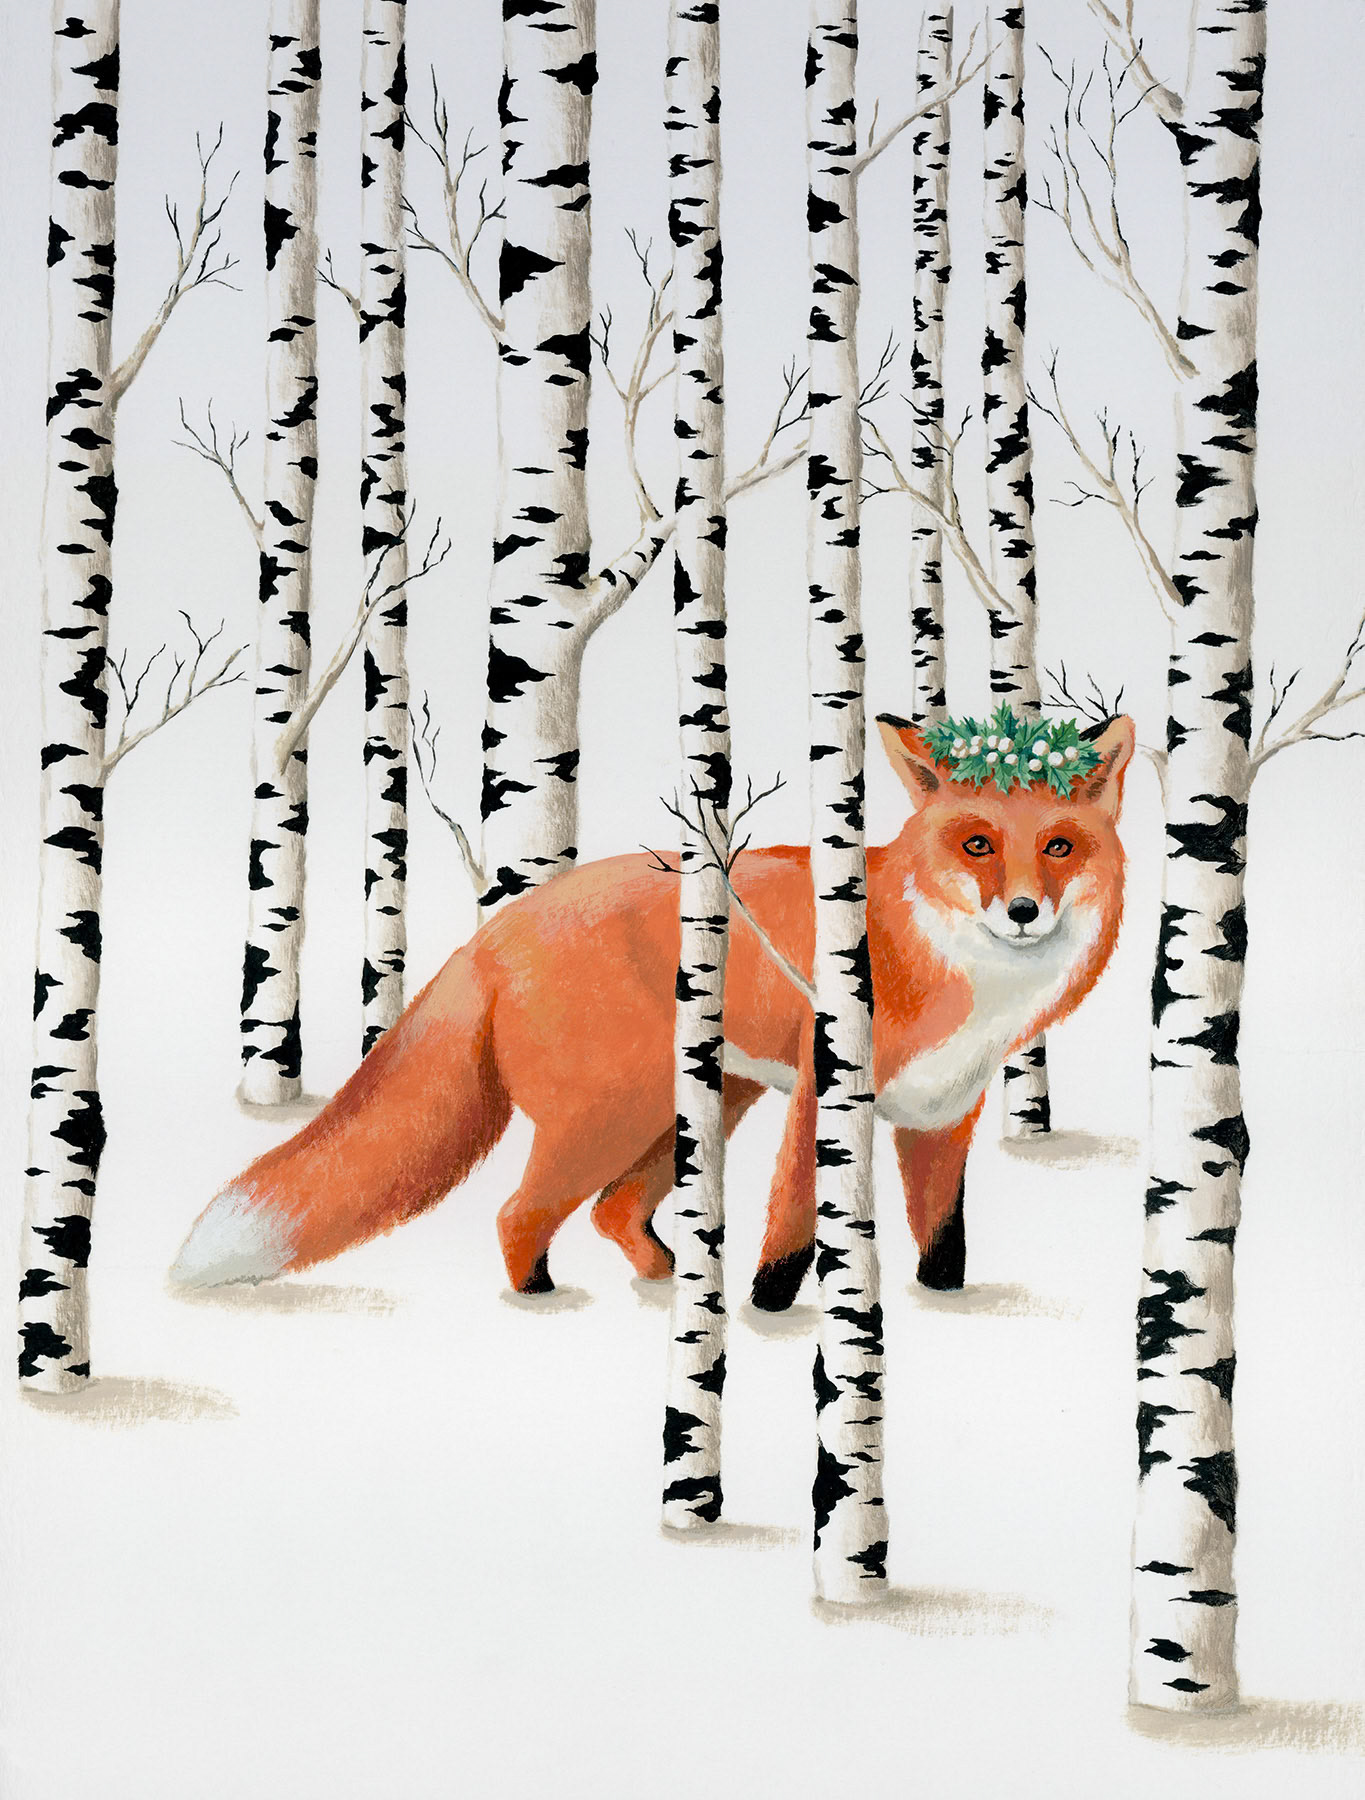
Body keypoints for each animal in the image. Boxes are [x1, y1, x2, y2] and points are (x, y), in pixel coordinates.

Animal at [170, 713, 1134, 1311]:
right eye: (975, 844)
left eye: (1058, 846)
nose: (1022, 911)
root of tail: (496, 929)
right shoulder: (820, 1098)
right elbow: (790, 1229)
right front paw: (770, 1316)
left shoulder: (940, 1115)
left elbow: (942, 1239)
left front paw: (944, 1309)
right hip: (613, 1113)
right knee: (519, 1213)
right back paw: (547, 1305)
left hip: (692, 1110)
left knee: (610, 1213)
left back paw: (670, 1286)